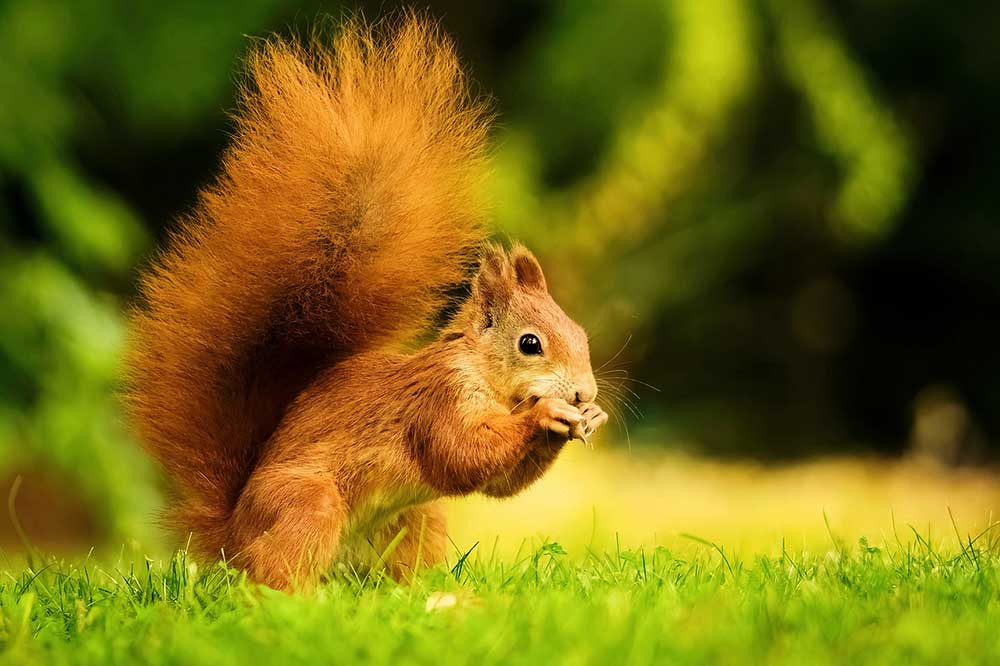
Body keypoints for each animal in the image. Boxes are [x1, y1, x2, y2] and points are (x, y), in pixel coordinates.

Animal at [123, 16, 607, 590]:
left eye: (580, 334)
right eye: (530, 344)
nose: (582, 392)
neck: (486, 378)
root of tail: (231, 534)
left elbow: (499, 484)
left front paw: (588, 416)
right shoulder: (437, 401)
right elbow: (463, 455)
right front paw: (548, 413)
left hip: (415, 519)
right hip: (307, 505)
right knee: (273, 569)